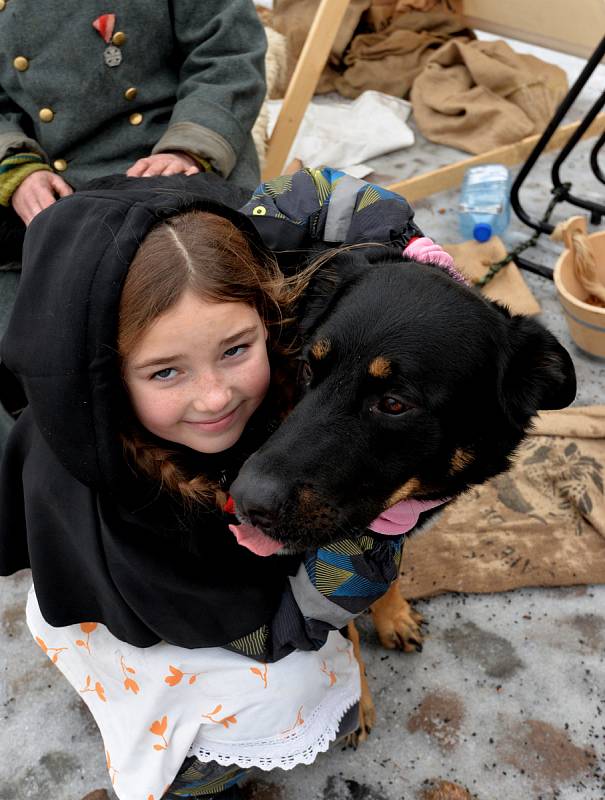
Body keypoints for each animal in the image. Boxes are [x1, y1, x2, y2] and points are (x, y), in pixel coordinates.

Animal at [231, 242, 576, 736]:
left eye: (394, 404)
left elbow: (389, 565)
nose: (244, 501)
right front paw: (355, 697)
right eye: (307, 368)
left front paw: (391, 615)